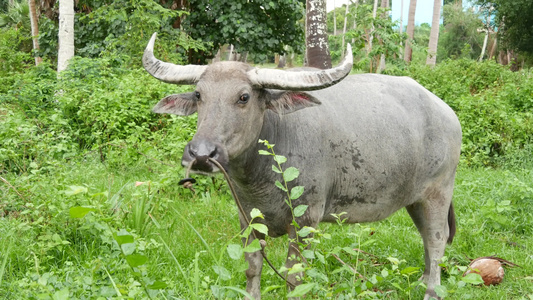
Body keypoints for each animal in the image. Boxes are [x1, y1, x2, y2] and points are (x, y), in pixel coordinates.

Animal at [143, 32, 460, 300]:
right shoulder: (247, 218)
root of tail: (447, 113)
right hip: (415, 200)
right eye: (199, 95)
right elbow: (252, 267)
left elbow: (294, 278)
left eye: (243, 97)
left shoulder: (306, 220)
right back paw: (423, 279)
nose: (201, 154)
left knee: (437, 239)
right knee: (427, 238)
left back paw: (432, 291)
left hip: (439, 192)